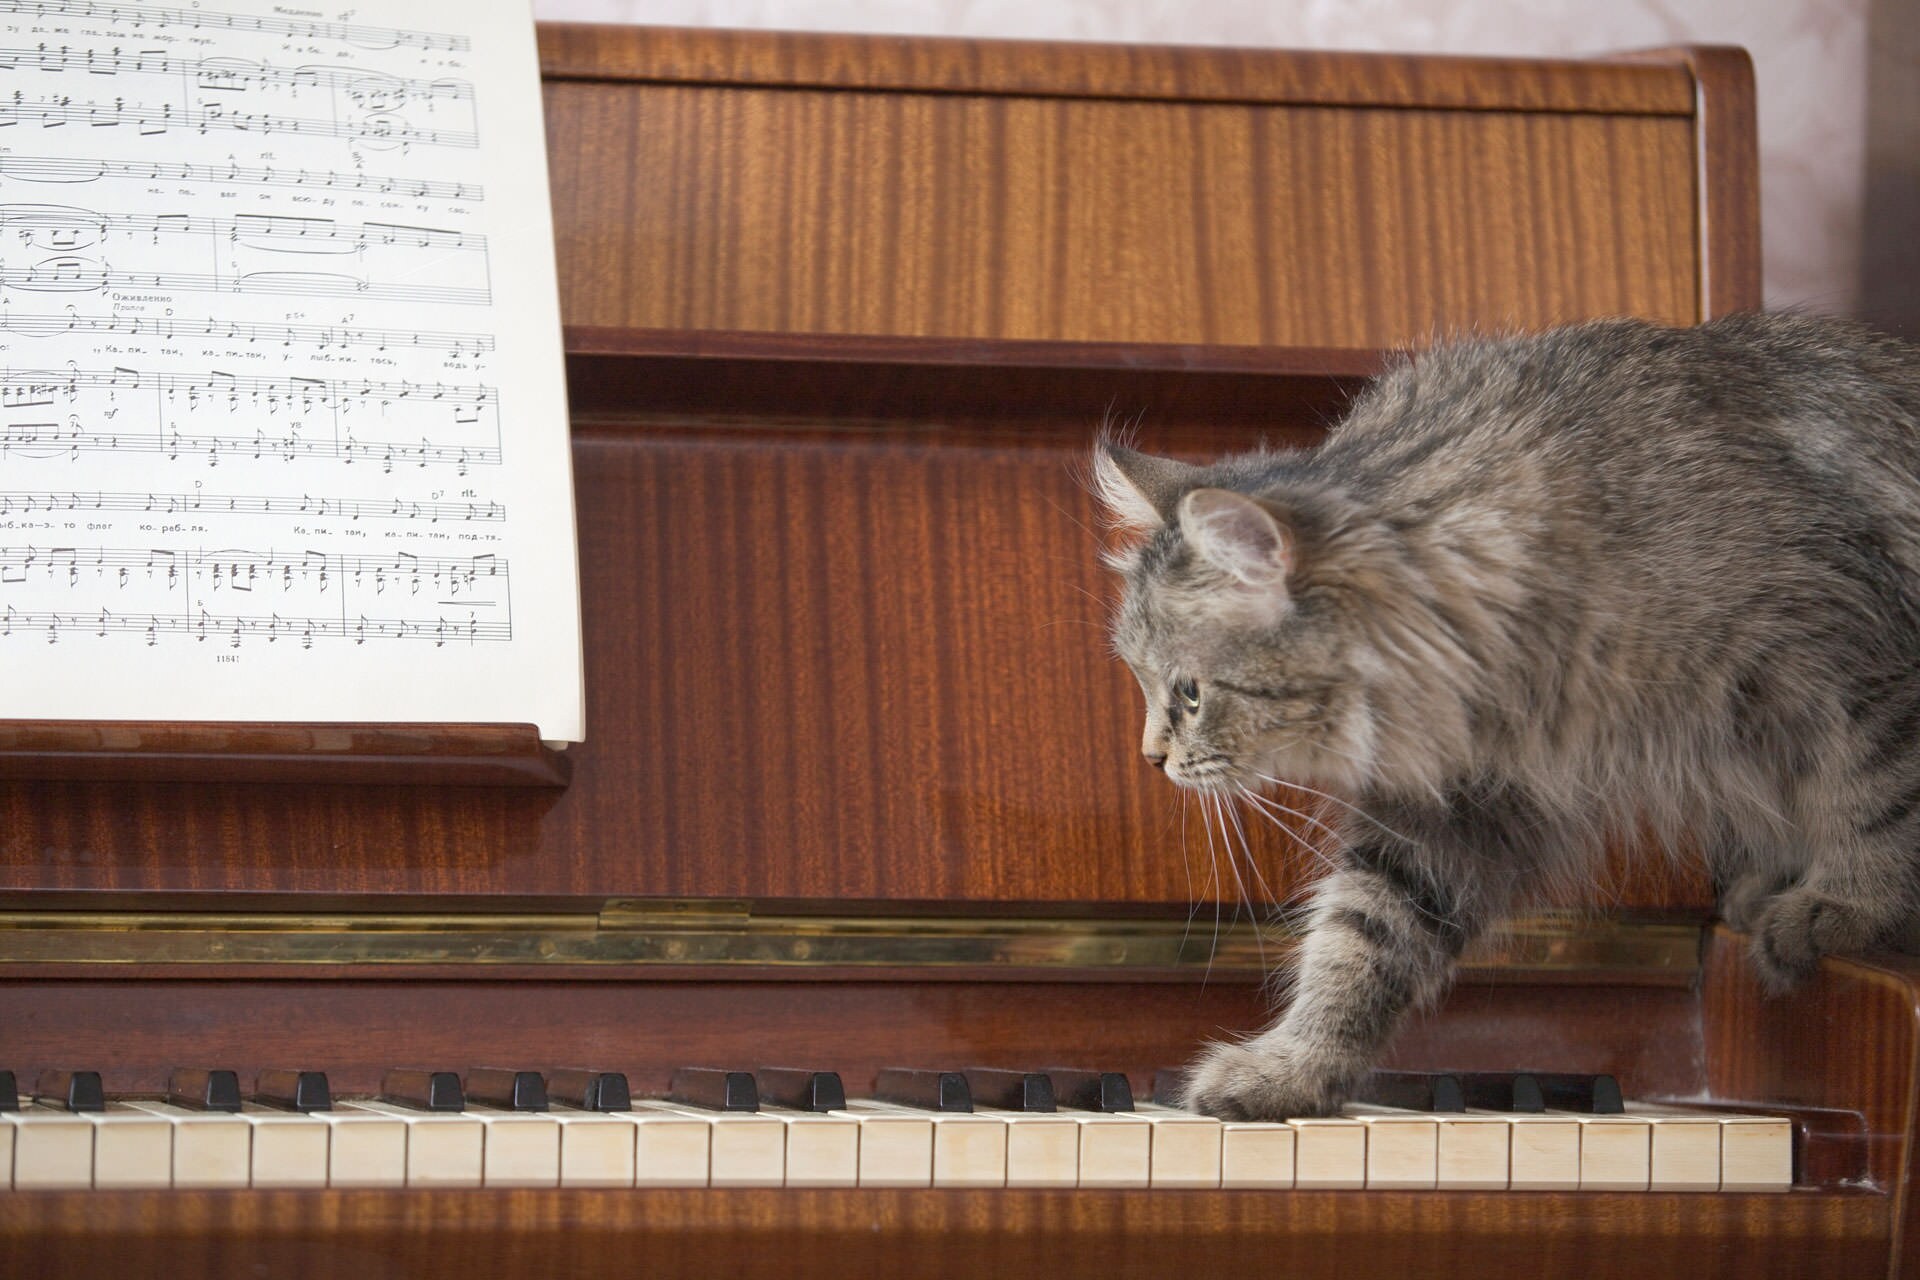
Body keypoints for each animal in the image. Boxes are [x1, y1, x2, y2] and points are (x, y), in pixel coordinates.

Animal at [1098, 310, 1920, 1120]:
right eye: (1140, 680)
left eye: (1191, 693)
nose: (1149, 758)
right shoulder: (1458, 807)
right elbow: (1362, 936)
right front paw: (1295, 1070)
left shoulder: (1860, 669)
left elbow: (1879, 799)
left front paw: (1846, 902)